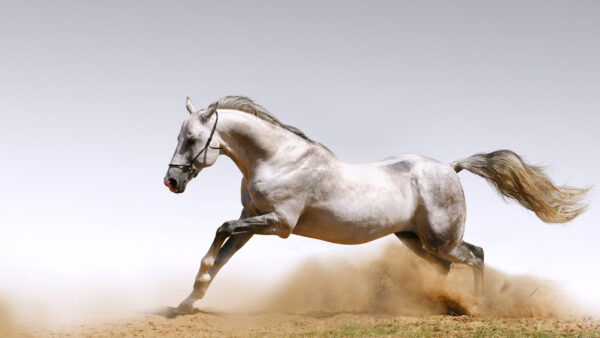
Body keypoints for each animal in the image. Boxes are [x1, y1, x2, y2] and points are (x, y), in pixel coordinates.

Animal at [165, 95, 592, 314]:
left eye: (192, 139)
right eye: (180, 136)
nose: (172, 181)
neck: (278, 159)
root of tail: (451, 168)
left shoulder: (278, 224)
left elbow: (220, 232)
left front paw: (191, 293)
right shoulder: (252, 217)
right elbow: (222, 256)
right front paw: (187, 302)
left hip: (442, 239)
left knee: (476, 255)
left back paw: (477, 307)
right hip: (413, 238)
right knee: (444, 268)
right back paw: (429, 304)